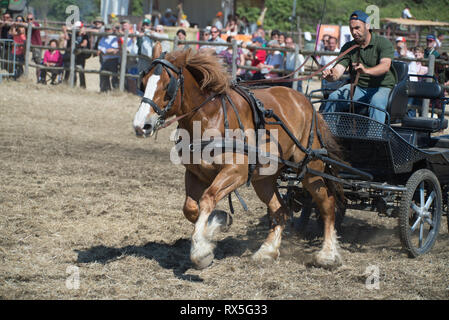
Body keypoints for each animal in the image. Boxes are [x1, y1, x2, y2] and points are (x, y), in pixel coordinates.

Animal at [133, 42, 344, 268]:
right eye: (143, 82)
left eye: (167, 86)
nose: (140, 126)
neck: (210, 116)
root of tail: (307, 103)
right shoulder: (195, 173)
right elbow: (190, 208)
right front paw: (218, 222)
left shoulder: (236, 171)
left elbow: (207, 199)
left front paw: (201, 251)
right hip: (264, 178)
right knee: (280, 209)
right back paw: (267, 251)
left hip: (311, 168)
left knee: (327, 205)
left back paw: (327, 254)